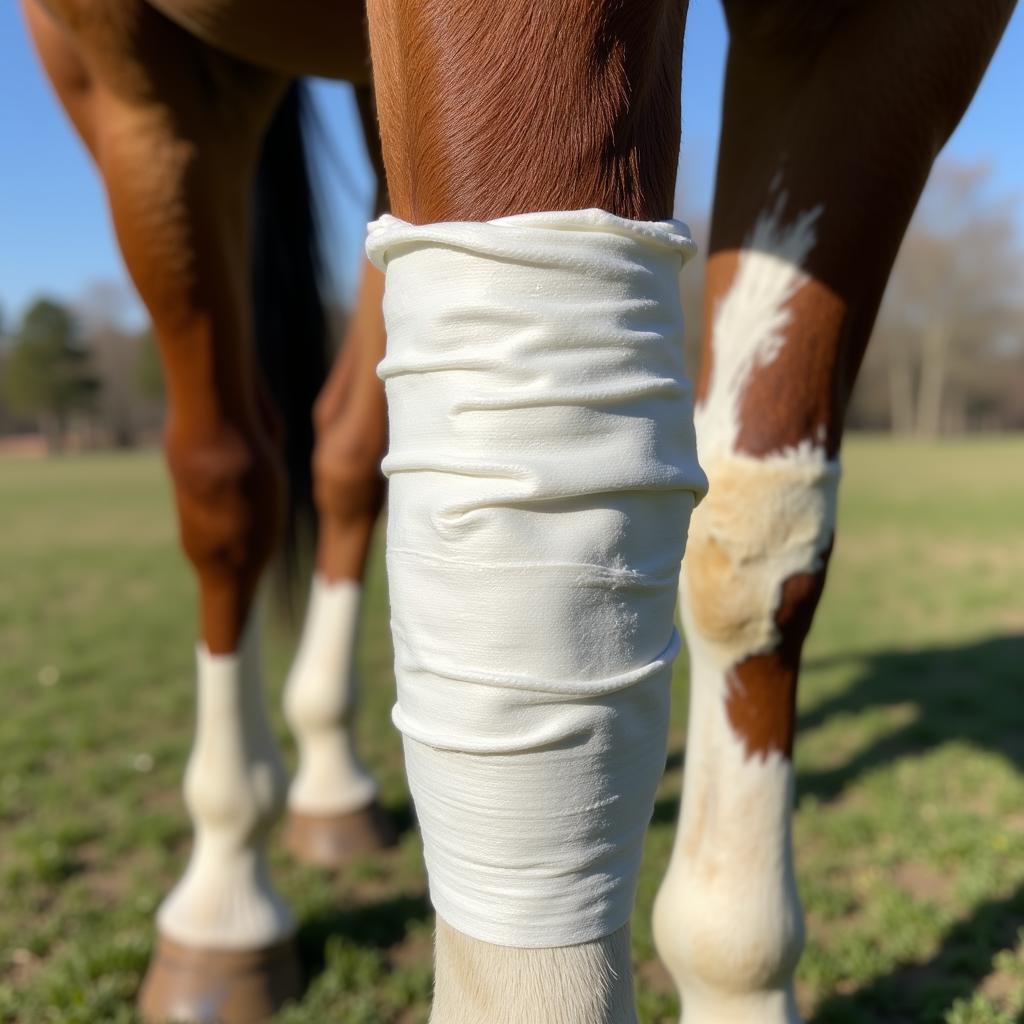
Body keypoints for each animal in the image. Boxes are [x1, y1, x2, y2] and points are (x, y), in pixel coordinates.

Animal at [19, 2, 1011, 1024]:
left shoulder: (880, 41)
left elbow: (757, 547)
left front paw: (736, 962)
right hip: (147, 85)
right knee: (232, 481)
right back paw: (225, 894)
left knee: (342, 451)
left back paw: (329, 783)